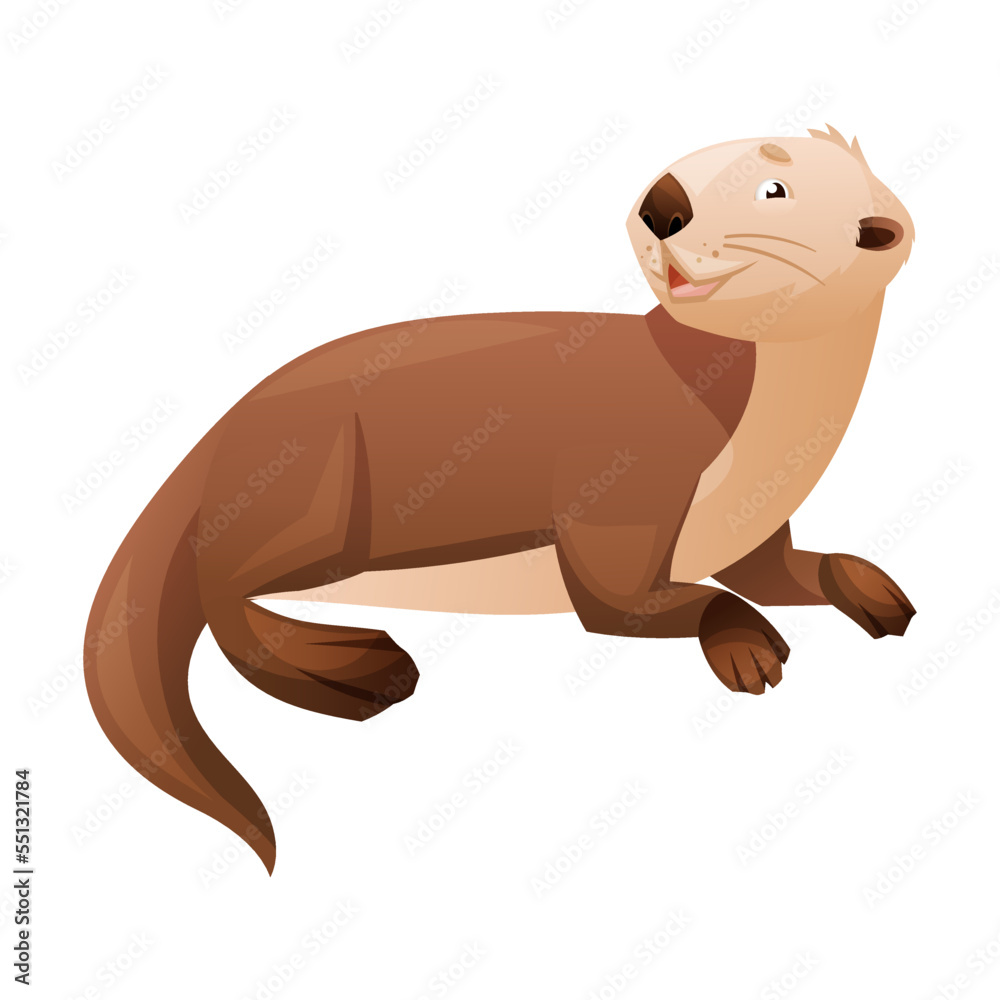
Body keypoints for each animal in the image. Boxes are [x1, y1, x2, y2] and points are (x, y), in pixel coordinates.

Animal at [84, 126, 916, 874]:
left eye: (774, 188)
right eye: (695, 159)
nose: (664, 202)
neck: (759, 432)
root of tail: (216, 435)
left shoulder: (747, 526)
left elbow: (781, 571)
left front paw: (874, 589)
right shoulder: (626, 483)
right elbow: (627, 596)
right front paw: (747, 646)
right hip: (314, 485)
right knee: (219, 592)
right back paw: (363, 670)